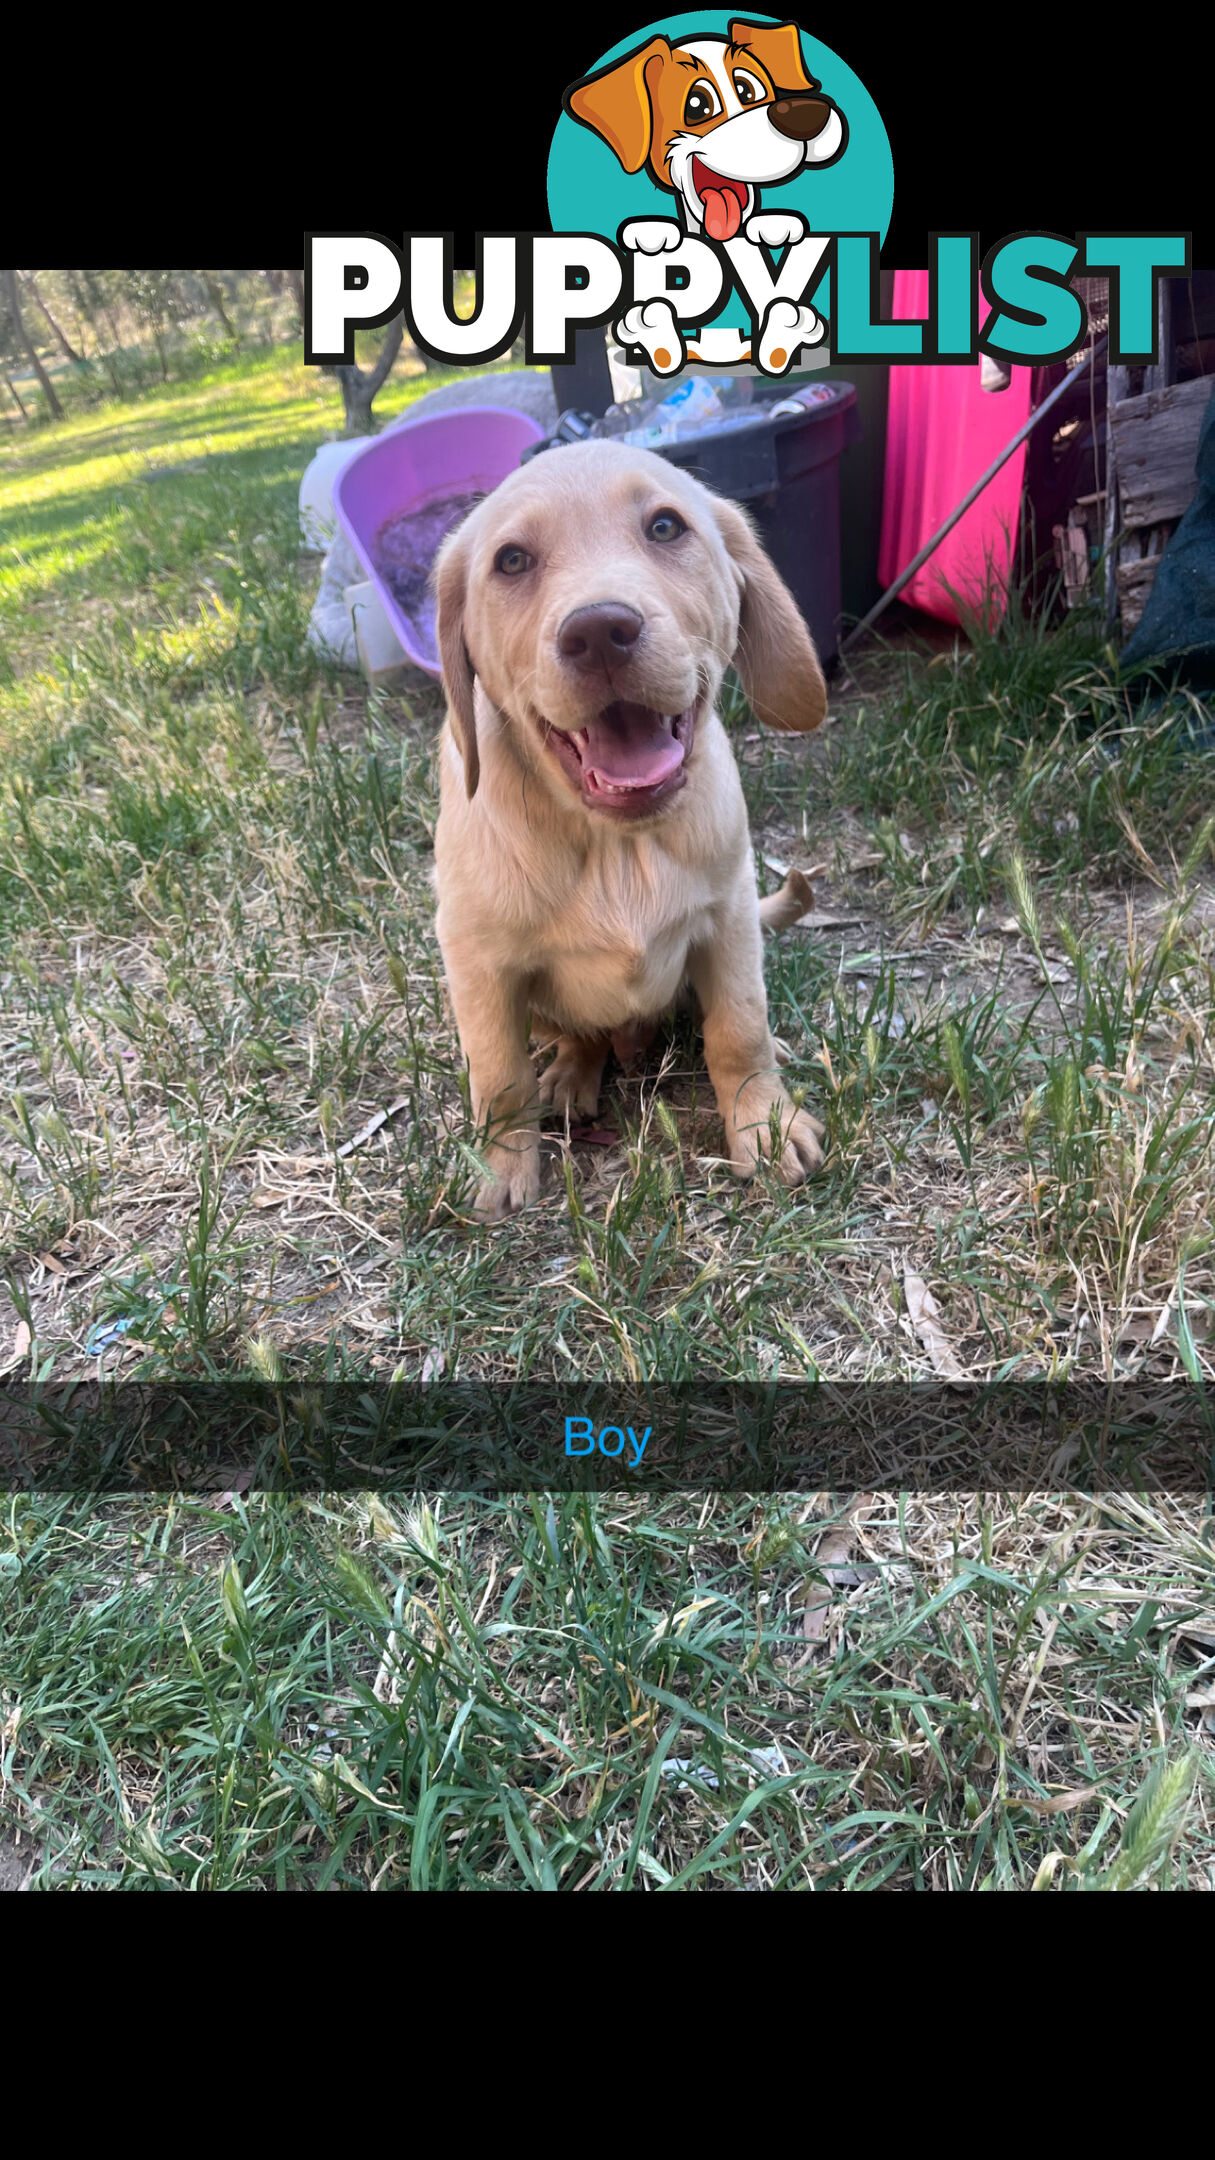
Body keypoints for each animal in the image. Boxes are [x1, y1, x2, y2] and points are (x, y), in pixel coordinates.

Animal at [428, 442, 821, 1218]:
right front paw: (500, 1163)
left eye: (665, 527)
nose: (599, 632)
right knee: (575, 1040)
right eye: (511, 561)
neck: (617, 847)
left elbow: (739, 1031)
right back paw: (568, 1077)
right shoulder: (476, 962)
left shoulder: (730, 919)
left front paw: (764, 1123)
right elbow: (498, 1075)